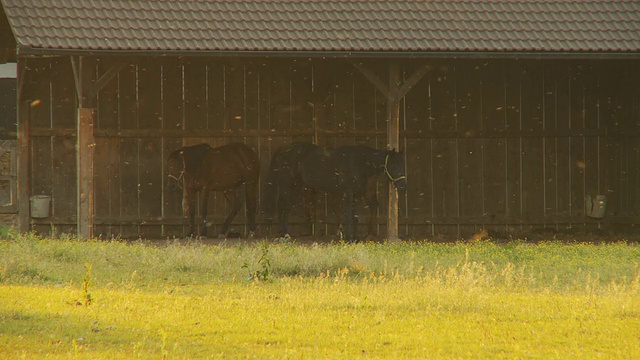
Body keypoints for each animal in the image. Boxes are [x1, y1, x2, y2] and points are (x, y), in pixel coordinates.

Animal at [264, 143, 404, 242]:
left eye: (402, 165)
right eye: (394, 166)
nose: (403, 186)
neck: (359, 162)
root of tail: (283, 149)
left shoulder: (357, 193)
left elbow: (355, 216)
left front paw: (356, 238)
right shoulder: (348, 192)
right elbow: (348, 215)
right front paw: (349, 238)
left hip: (296, 186)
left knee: (286, 207)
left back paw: (285, 233)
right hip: (286, 184)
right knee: (282, 205)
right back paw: (284, 233)